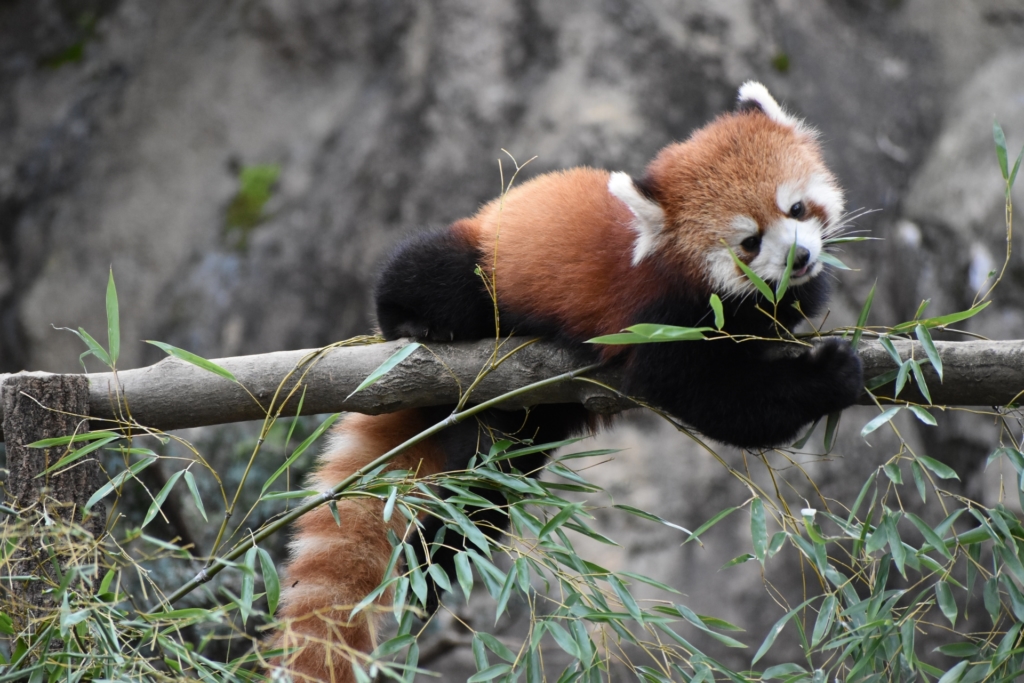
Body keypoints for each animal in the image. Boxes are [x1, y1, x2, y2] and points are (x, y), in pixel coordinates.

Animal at [270, 82, 864, 679]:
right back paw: (412, 324)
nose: (799, 257)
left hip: (518, 429)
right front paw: (830, 375)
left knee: (480, 494)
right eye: (749, 242)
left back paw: (432, 566)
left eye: (796, 208)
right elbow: (722, 399)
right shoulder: (658, 316)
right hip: (482, 265)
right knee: (425, 272)